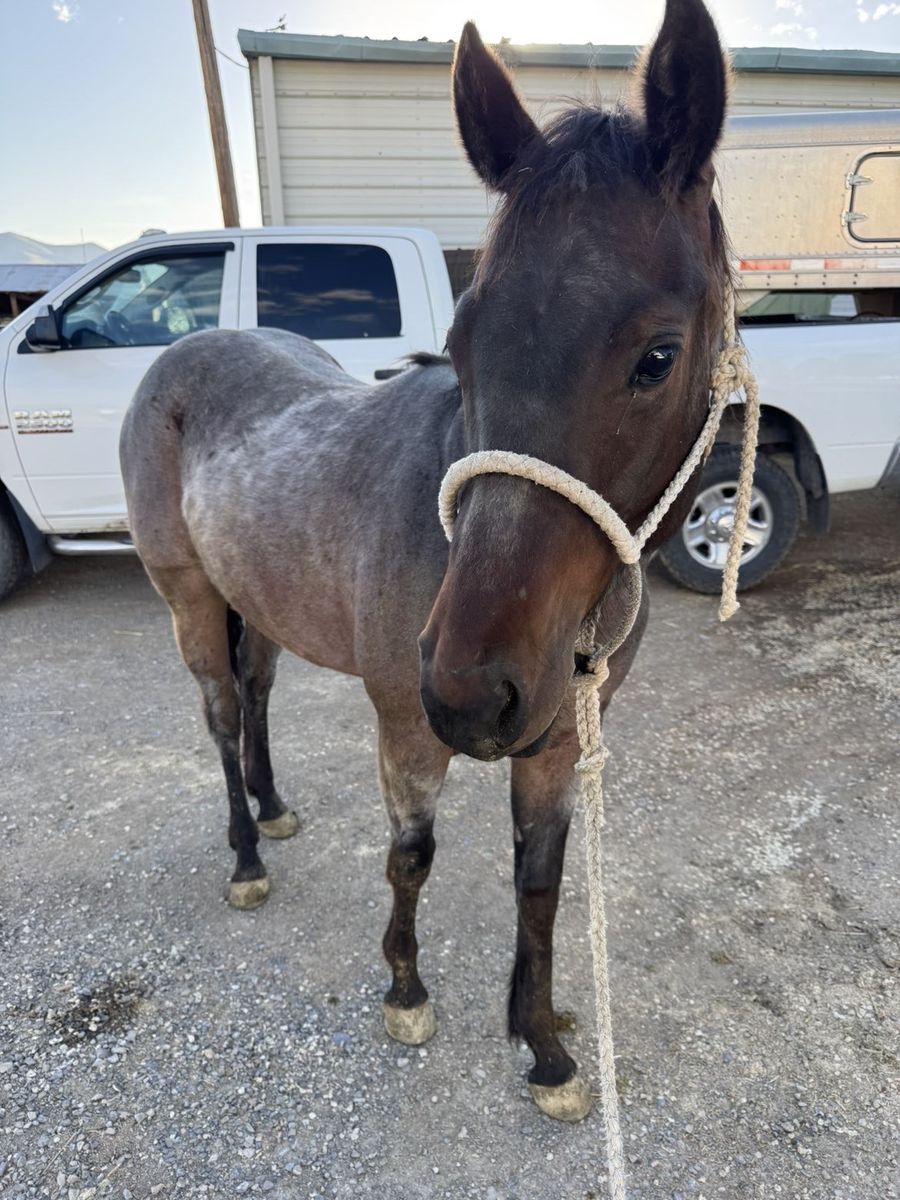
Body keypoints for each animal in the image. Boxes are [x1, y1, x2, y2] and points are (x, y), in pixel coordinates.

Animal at [120, 0, 730, 1123]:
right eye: (463, 339)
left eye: (659, 356)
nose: (472, 689)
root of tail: (180, 353)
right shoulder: (408, 725)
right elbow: (412, 855)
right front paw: (406, 990)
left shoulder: (556, 743)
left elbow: (541, 881)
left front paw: (544, 1040)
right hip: (187, 597)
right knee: (221, 711)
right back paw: (243, 853)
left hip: (258, 600)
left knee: (256, 691)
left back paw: (272, 809)